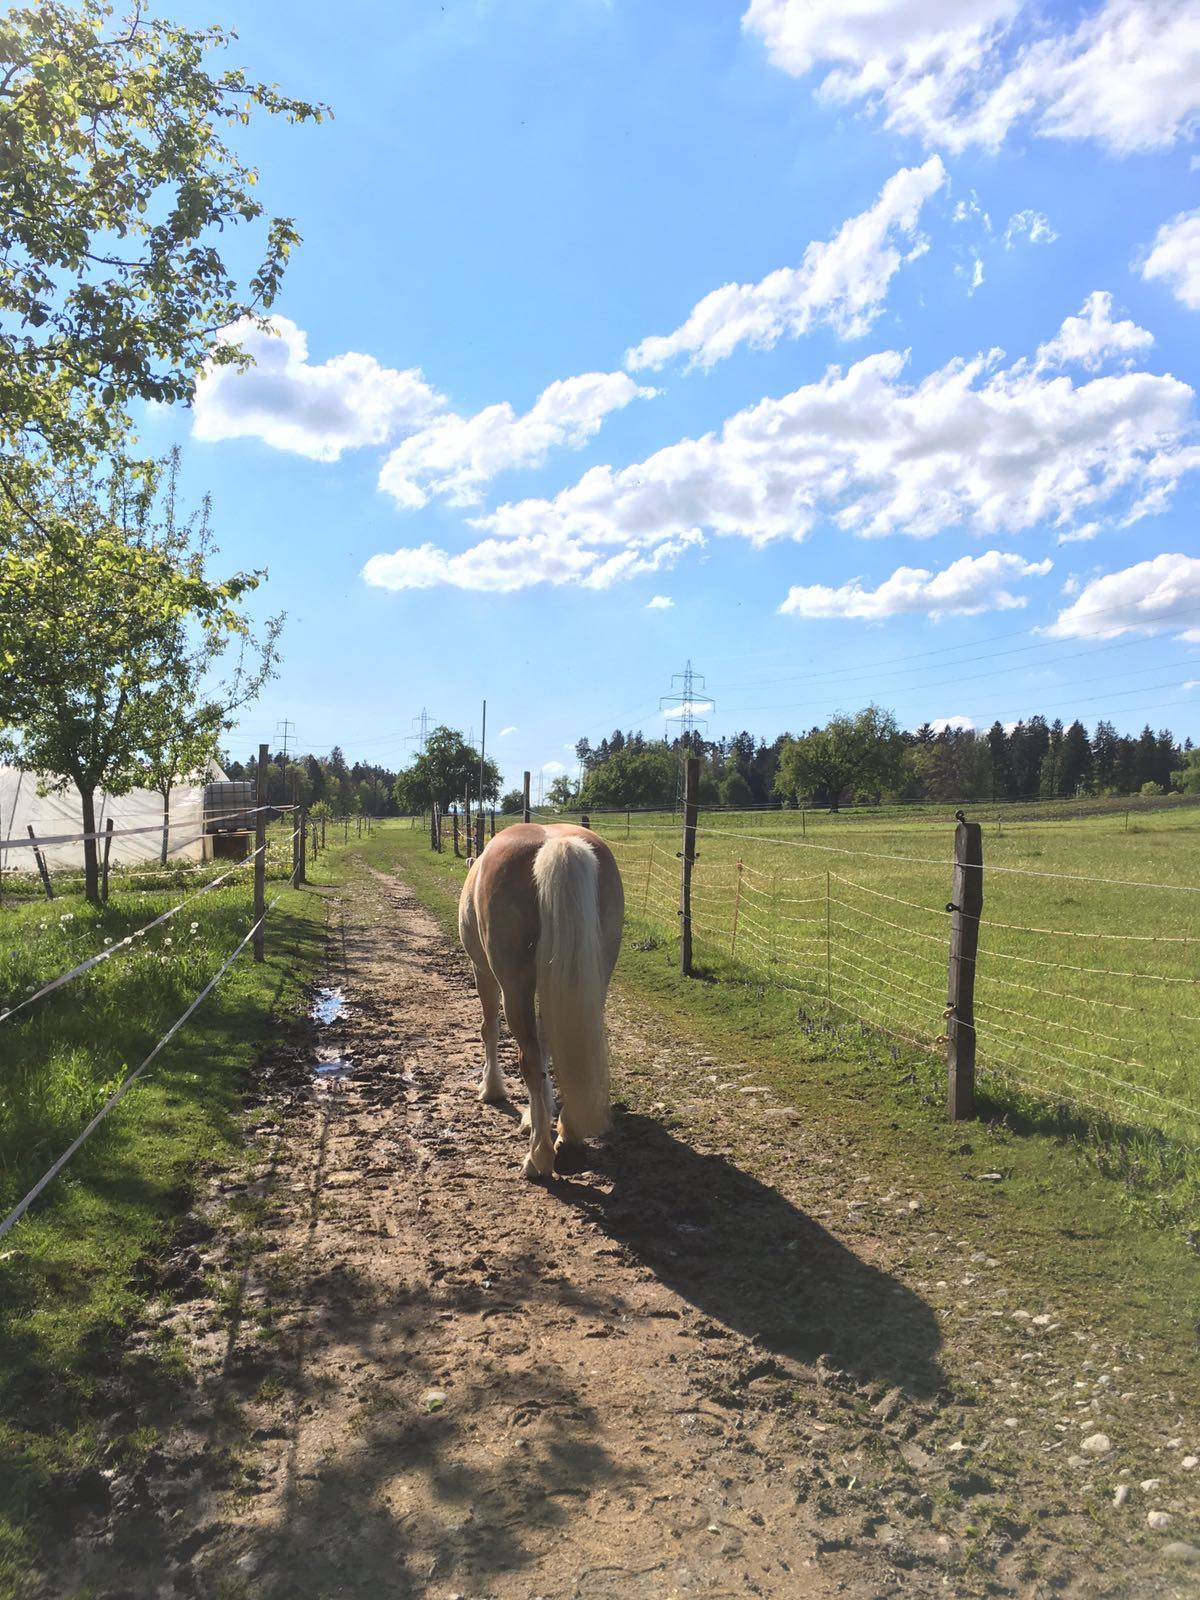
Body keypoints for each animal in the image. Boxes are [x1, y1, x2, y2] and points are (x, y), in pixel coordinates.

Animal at [460, 825, 630, 1177]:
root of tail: (557, 842)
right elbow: (547, 1040)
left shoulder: (482, 972)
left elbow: (489, 1029)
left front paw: (491, 1088)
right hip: (597, 974)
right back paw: (569, 1138)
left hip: (514, 988)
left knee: (530, 1059)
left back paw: (537, 1156)